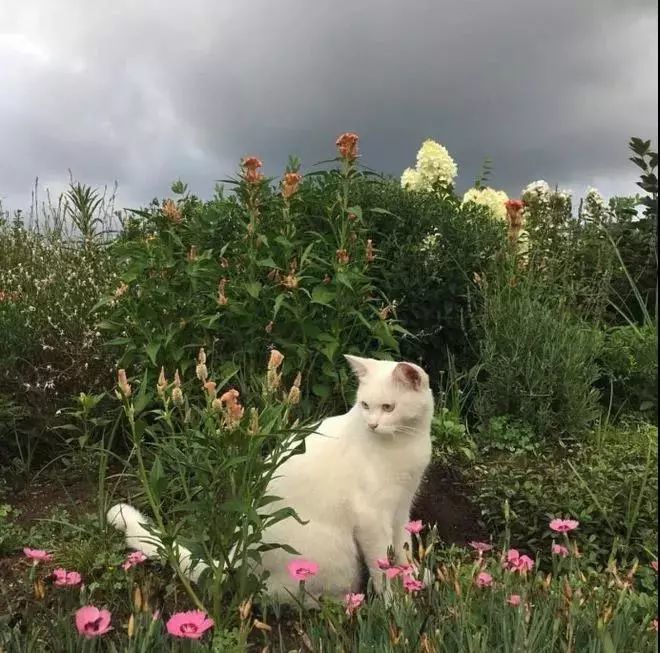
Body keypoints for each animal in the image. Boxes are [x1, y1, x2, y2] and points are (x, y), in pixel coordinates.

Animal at [107, 354, 434, 600]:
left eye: (388, 407)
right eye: (366, 405)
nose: (373, 424)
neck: (405, 443)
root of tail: (234, 558)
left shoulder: (400, 507)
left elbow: (402, 548)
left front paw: (413, 578)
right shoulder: (370, 518)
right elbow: (382, 564)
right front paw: (393, 603)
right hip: (333, 555)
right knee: (280, 594)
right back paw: (342, 603)